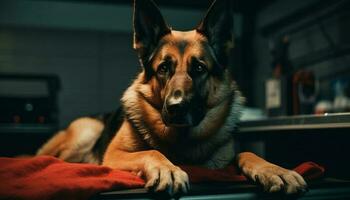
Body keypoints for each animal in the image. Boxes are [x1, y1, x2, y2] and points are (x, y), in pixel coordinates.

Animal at [37, 0, 306, 196]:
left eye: (199, 68)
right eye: (164, 68)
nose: (176, 108)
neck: (181, 141)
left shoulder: (223, 161)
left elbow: (246, 153)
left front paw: (274, 169)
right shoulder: (114, 154)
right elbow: (152, 152)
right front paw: (167, 169)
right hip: (87, 131)